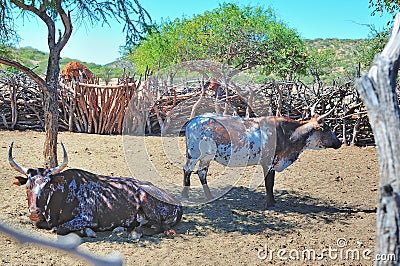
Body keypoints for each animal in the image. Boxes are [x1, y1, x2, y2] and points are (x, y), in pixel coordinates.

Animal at [8, 142, 183, 238]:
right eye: (27, 187)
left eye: (46, 187)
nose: (34, 212)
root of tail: (176, 201)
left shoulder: (88, 218)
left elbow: (60, 228)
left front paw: (87, 232)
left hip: (148, 203)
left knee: (157, 226)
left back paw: (134, 232)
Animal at [181, 109, 340, 208]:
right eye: (326, 128)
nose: (339, 142)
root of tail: (195, 119)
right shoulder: (268, 163)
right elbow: (269, 184)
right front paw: (270, 204)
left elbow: (272, 183)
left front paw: (273, 202)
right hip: (193, 153)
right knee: (187, 170)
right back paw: (185, 195)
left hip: (207, 156)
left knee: (202, 172)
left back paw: (209, 196)